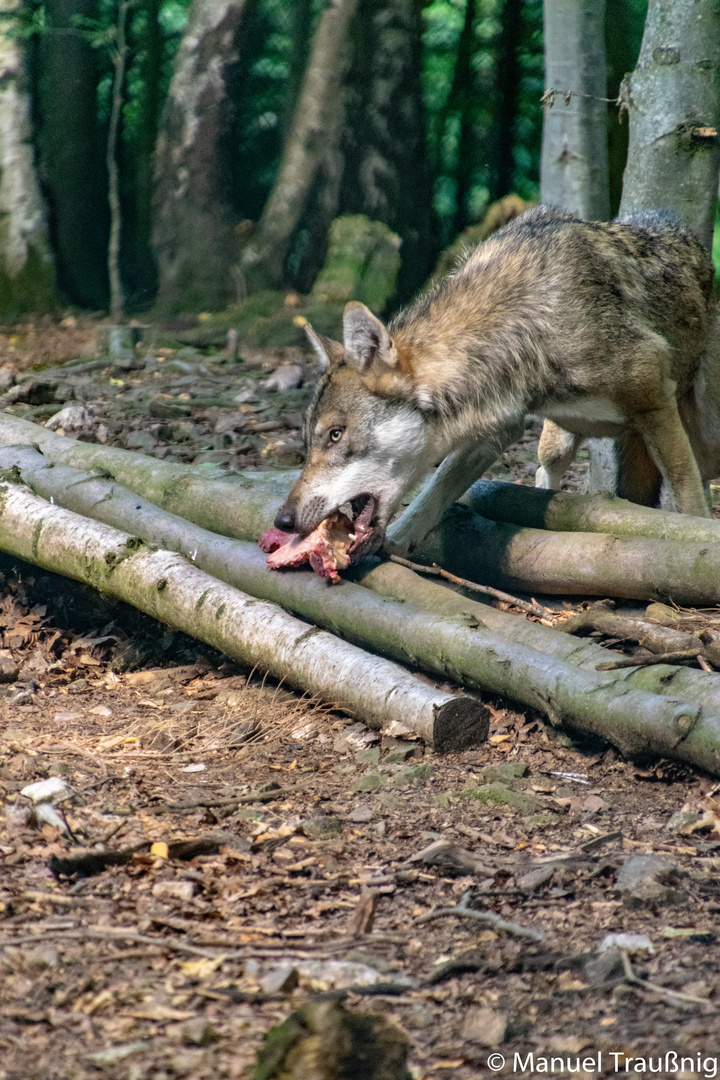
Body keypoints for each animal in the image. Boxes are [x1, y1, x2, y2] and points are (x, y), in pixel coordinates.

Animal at [274, 204, 716, 557]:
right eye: (308, 441)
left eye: (335, 434)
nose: (282, 521)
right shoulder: (494, 432)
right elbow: (431, 497)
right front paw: (397, 544)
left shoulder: (655, 404)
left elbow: (690, 500)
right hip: (556, 442)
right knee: (544, 473)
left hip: (701, 432)